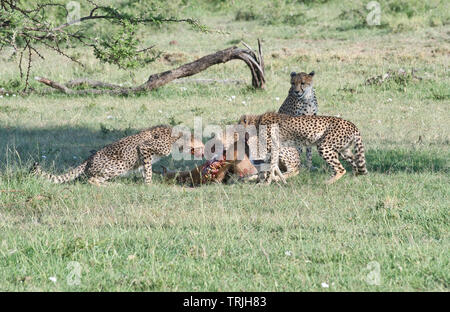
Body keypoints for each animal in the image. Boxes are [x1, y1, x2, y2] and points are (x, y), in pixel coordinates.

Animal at [32, 125, 206, 185]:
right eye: (199, 143)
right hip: (119, 165)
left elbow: (146, 168)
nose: (204, 150)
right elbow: (148, 169)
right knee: (91, 179)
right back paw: (109, 185)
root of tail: (88, 159)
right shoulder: (145, 148)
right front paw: (149, 184)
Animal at [237, 112, 368, 184]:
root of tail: (352, 124)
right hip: (343, 150)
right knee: (355, 163)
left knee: (340, 169)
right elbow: (272, 167)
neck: (257, 122)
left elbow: (270, 167)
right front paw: (273, 180)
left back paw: (326, 183)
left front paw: (265, 183)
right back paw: (354, 177)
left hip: (324, 147)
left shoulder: (273, 148)